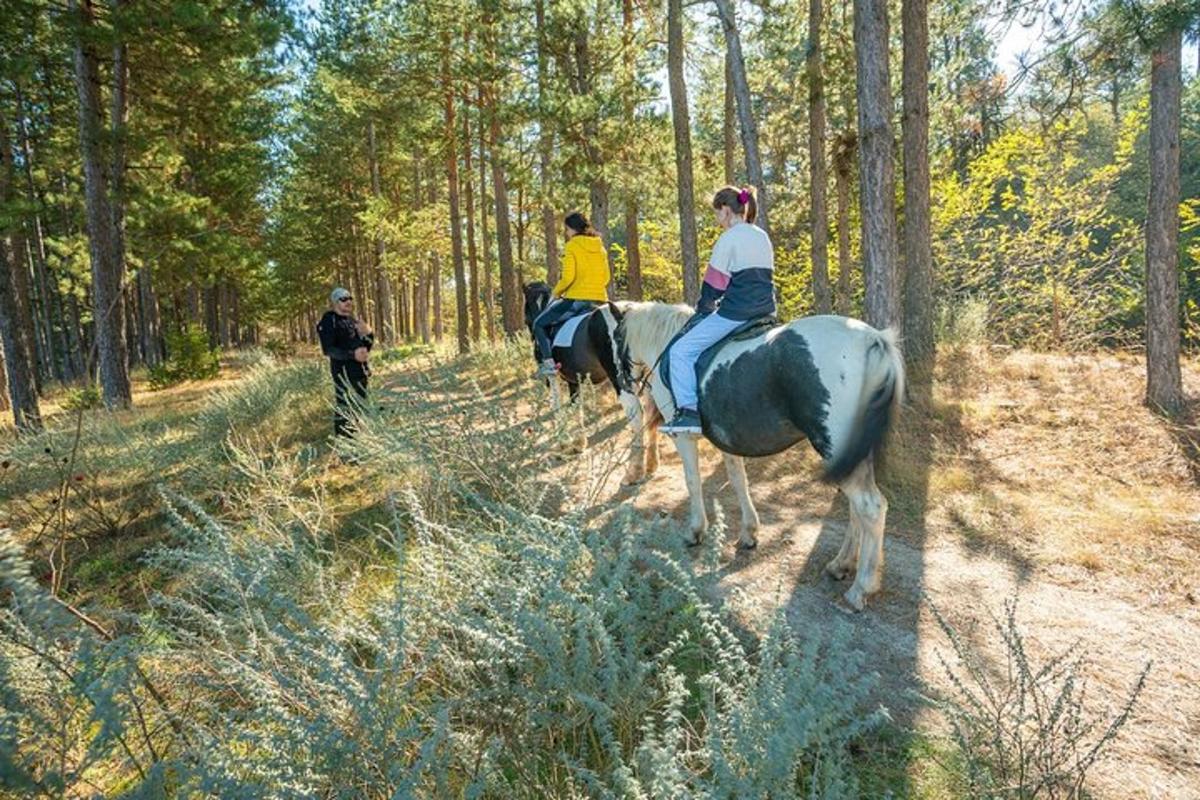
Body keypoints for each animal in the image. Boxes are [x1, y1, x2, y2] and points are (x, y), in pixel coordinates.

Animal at [520, 281, 662, 482]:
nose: (531, 327)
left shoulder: (553, 377)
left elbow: (556, 405)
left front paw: (563, 443)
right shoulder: (574, 379)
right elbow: (576, 406)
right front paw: (579, 442)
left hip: (622, 382)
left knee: (636, 415)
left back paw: (634, 472)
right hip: (648, 379)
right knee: (650, 413)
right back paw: (651, 464)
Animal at [595, 303, 902, 609]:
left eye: (616, 339)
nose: (622, 382)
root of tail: (872, 339)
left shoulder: (684, 438)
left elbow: (693, 482)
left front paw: (695, 531)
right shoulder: (727, 440)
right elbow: (738, 480)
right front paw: (749, 533)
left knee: (870, 508)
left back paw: (860, 588)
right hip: (853, 452)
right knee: (856, 508)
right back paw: (841, 565)